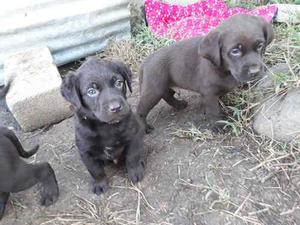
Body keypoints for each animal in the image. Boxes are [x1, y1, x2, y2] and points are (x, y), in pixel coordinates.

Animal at [60, 58, 145, 195]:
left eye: (119, 83)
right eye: (91, 92)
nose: (116, 108)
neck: (105, 126)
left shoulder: (134, 135)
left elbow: (132, 156)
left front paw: (135, 172)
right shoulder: (85, 151)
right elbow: (95, 170)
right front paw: (99, 184)